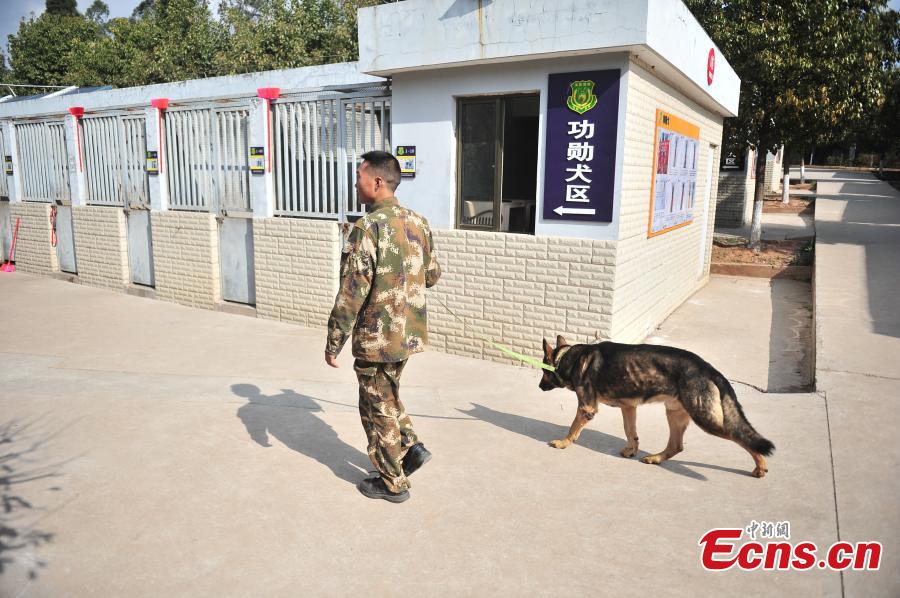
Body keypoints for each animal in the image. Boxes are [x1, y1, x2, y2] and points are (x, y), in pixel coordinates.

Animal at [536, 338, 776, 478]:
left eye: (542, 371)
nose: (539, 387)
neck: (568, 358)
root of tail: (710, 369)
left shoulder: (586, 407)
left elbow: (573, 428)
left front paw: (563, 443)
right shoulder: (629, 408)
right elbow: (630, 432)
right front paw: (631, 450)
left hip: (707, 419)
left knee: (741, 437)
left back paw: (760, 467)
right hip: (674, 414)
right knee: (676, 446)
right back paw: (656, 458)